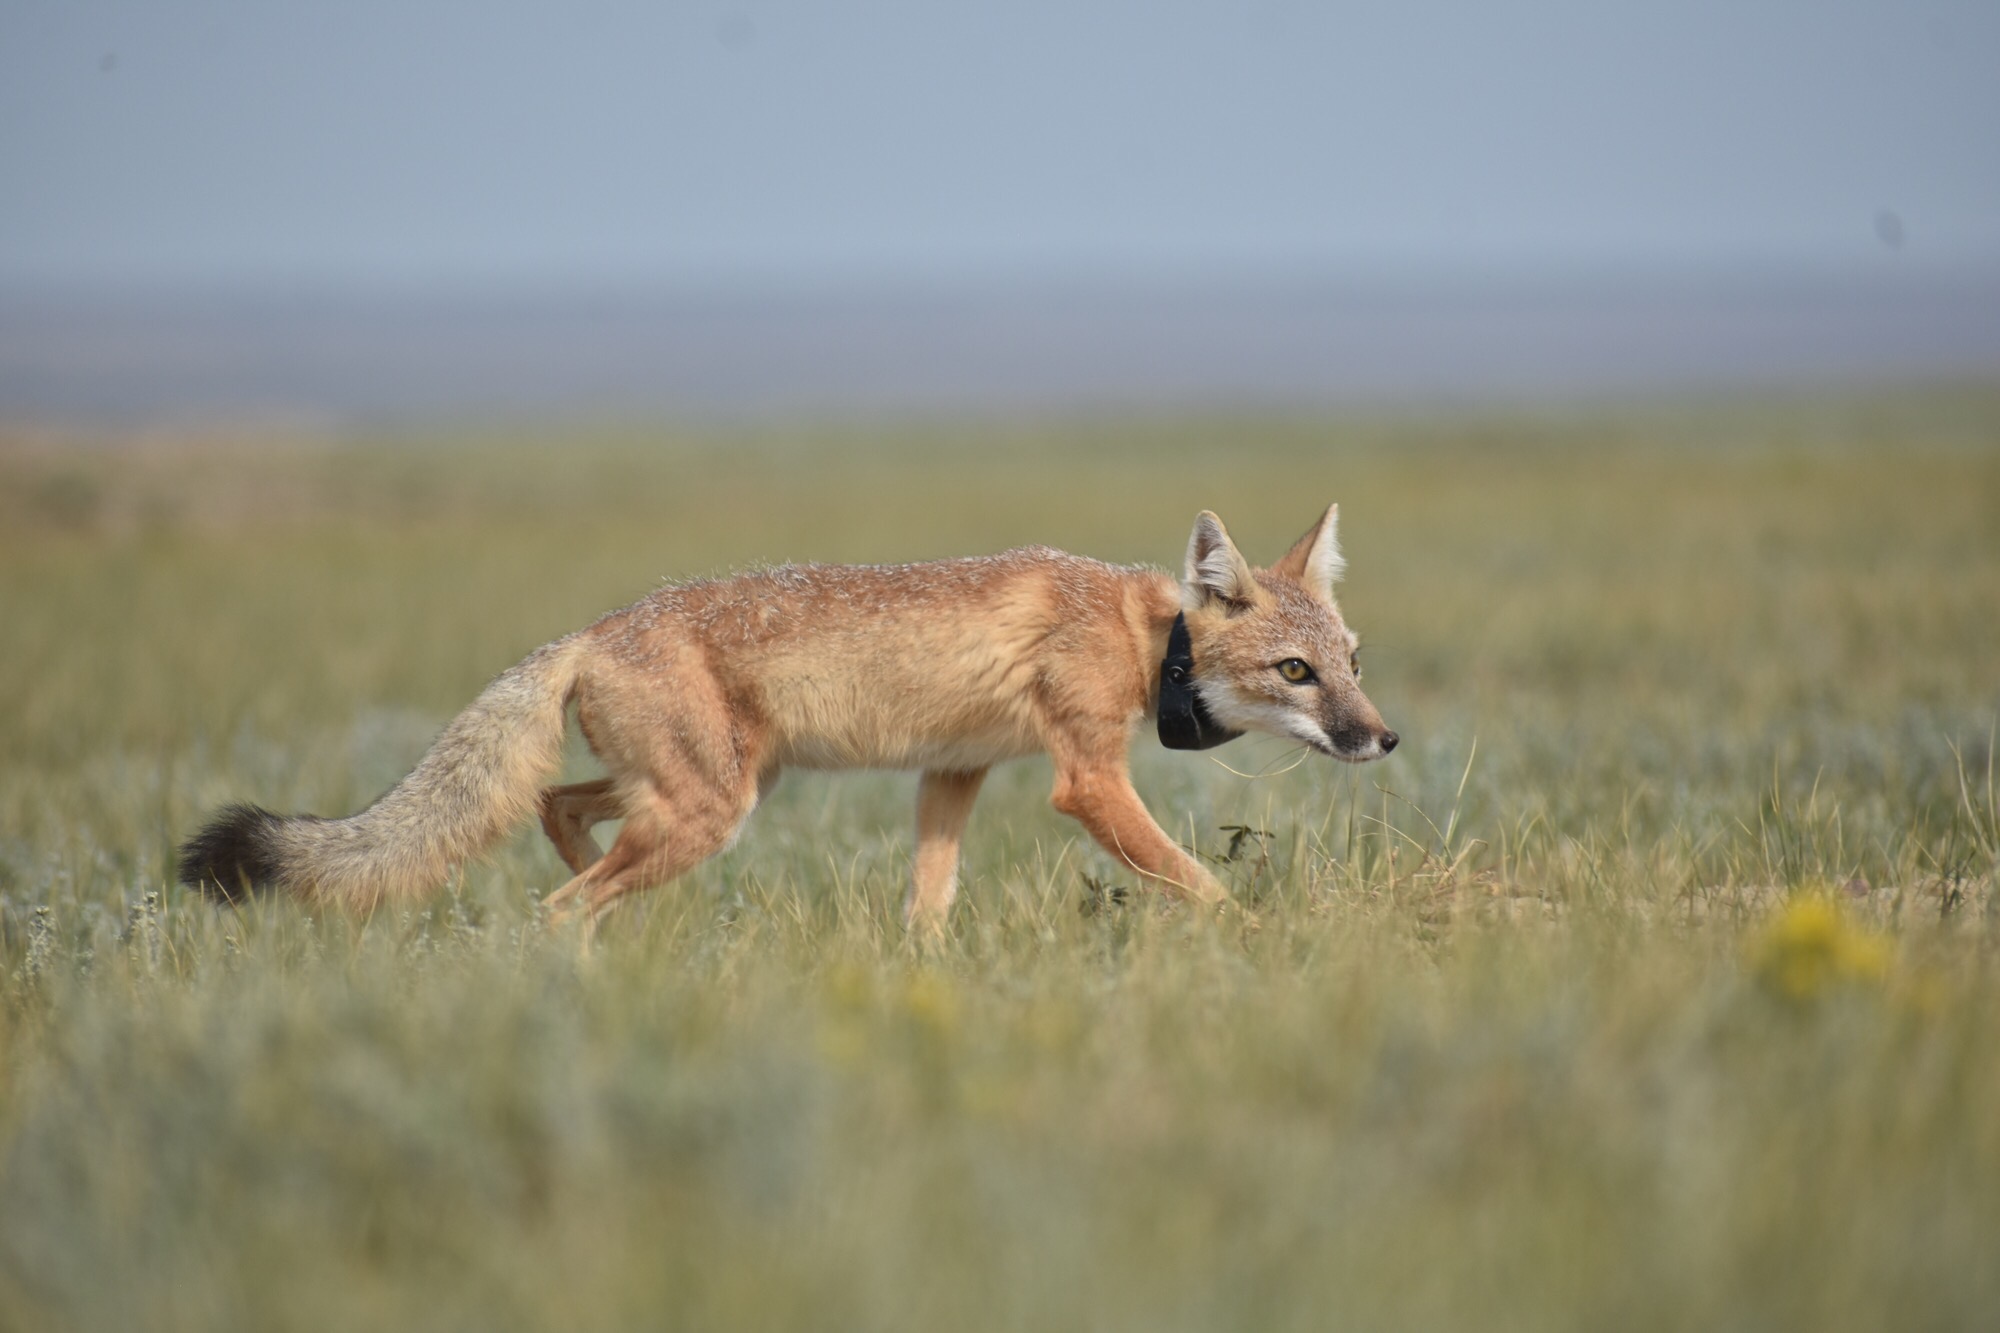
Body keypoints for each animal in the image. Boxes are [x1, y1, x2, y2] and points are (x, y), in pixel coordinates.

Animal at [180, 504, 1400, 928]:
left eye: (1351, 663)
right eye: (1295, 672)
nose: (1382, 737)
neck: (1148, 635)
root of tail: (592, 627)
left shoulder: (952, 774)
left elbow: (926, 905)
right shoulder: (1087, 781)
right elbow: (1199, 885)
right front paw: (1268, 947)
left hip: (701, 793)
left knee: (558, 814)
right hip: (710, 809)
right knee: (557, 901)